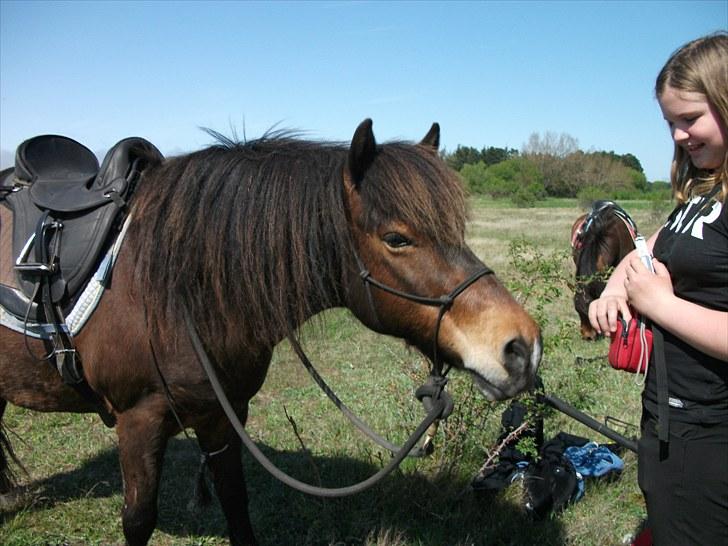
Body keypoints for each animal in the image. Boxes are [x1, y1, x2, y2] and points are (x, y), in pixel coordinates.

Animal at [0, 120, 540, 544]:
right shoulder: (139, 422)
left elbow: (236, 506)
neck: (177, 289)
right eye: (396, 238)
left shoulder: (224, 414)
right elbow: (138, 520)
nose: (521, 347)